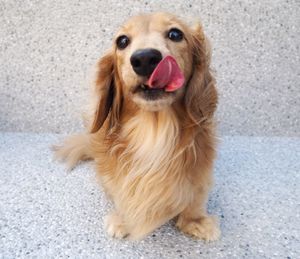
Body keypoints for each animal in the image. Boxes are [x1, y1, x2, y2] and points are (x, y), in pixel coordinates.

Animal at [54, 12, 219, 241]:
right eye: (122, 41)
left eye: (175, 34)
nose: (145, 58)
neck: (154, 130)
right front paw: (123, 219)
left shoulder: (201, 174)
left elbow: (195, 198)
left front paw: (196, 221)